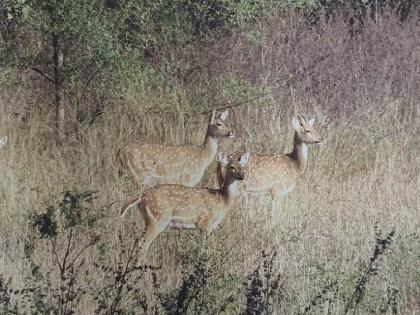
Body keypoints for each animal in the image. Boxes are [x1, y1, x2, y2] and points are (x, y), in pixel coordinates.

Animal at [118, 152, 249, 254]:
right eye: (232, 167)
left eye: (242, 166)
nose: (243, 175)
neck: (221, 200)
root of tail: (142, 196)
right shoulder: (204, 224)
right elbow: (203, 249)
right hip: (157, 218)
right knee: (143, 243)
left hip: (149, 220)